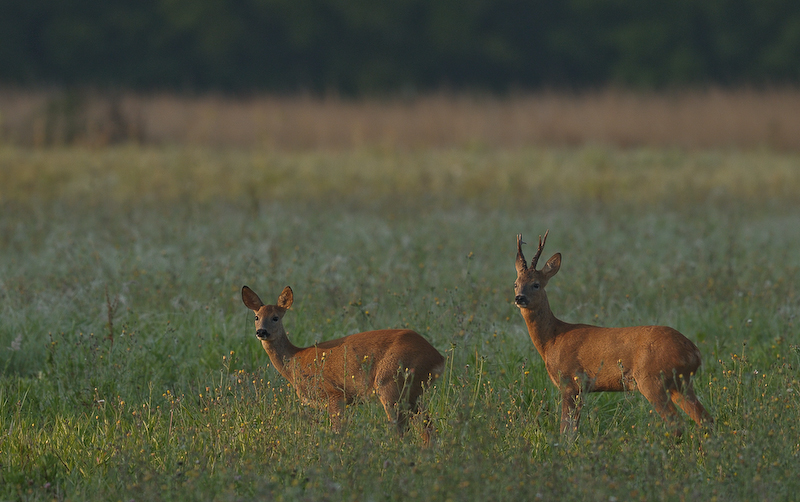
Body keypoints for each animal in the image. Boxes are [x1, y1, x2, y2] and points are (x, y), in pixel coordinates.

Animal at [241, 286, 446, 440]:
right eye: (256, 317)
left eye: (275, 317)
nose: (261, 332)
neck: (294, 361)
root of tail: (439, 358)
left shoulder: (334, 393)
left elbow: (338, 431)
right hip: (413, 392)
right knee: (427, 428)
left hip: (390, 383)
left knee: (402, 431)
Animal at [512, 232, 712, 436]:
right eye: (516, 284)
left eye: (536, 284)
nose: (520, 298)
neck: (553, 339)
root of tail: (694, 352)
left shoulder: (571, 382)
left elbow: (566, 430)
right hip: (681, 383)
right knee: (705, 419)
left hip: (653, 379)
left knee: (676, 423)